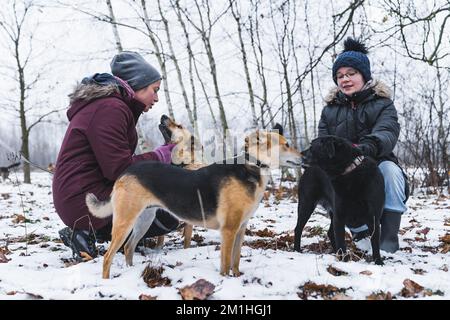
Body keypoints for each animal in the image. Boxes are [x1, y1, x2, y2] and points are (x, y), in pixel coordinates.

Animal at [86, 129, 300, 278]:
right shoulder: (229, 230)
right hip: (125, 222)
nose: (305, 156)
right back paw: (106, 280)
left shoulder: (240, 229)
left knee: (129, 248)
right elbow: (225, 264)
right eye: (287, 144)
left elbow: (236, 261)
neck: (252, 167)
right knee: (108, 257)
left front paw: (238, 277)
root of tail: (125, 172)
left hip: (143, 220)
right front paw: (227, 280)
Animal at [294, 136, 384, 264]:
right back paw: (297, 250)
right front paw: (345, 262)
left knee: (330, 232)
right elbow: (341, 243)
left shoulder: (373, 218)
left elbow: (375, 244)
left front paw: (379, 263)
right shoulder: (340, 217)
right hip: (306, 204)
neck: (350, 172)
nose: (299, 154)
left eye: (312, 147)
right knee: (298, 229)